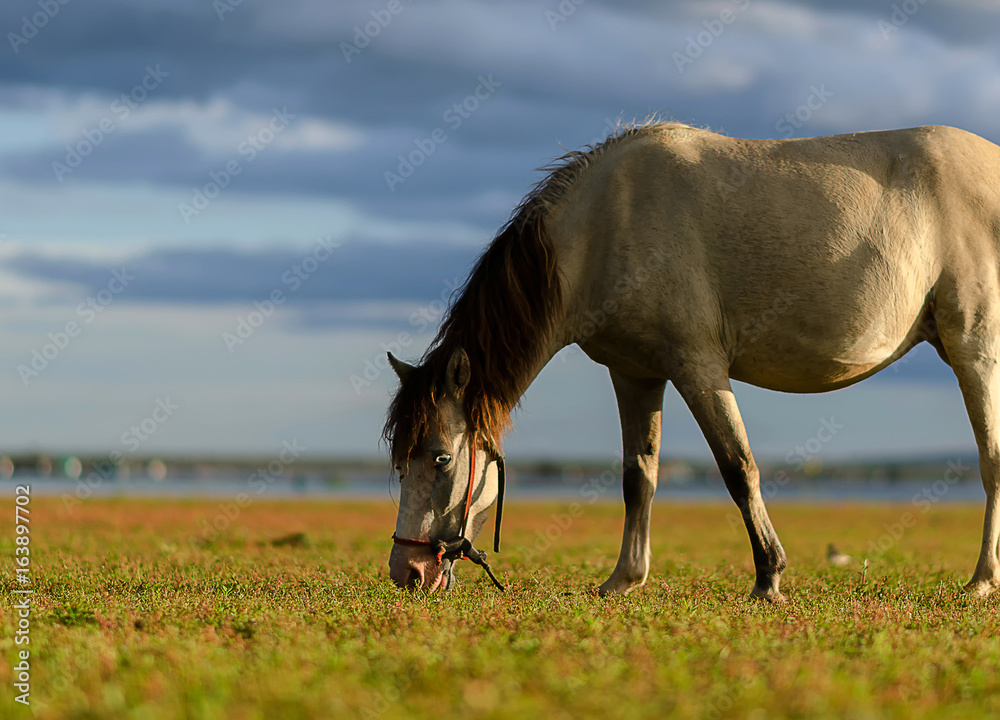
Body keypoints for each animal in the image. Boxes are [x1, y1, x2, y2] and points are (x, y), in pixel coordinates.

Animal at [380, 121, 1000, 600]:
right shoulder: (635, 373)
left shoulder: (697, 366)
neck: (605, 226)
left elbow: (738, 468)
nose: (408, 572)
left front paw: (768, 579)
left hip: (976, 351)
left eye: (440, 458)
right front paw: (624, 580)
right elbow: (639, 476)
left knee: (991, 461)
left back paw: (981, 582)